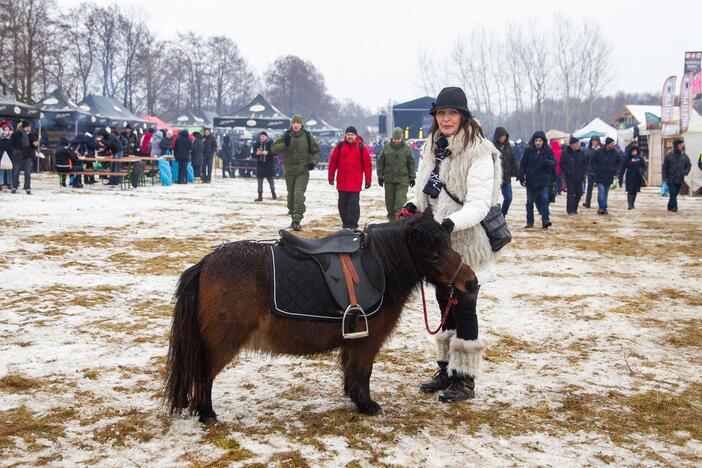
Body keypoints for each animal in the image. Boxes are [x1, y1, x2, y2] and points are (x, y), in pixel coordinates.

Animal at [164, 210, 478, 422]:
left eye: (449, 246)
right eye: (433, 256)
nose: (471, 283)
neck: (381, 269)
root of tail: (206, 263)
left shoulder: (355, 340)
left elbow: (352, 374)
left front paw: (358, 402)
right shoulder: (367, 341)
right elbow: (362, 372)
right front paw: (368, 406)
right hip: (223, 342)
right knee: (205, 374)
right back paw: (207, 413)